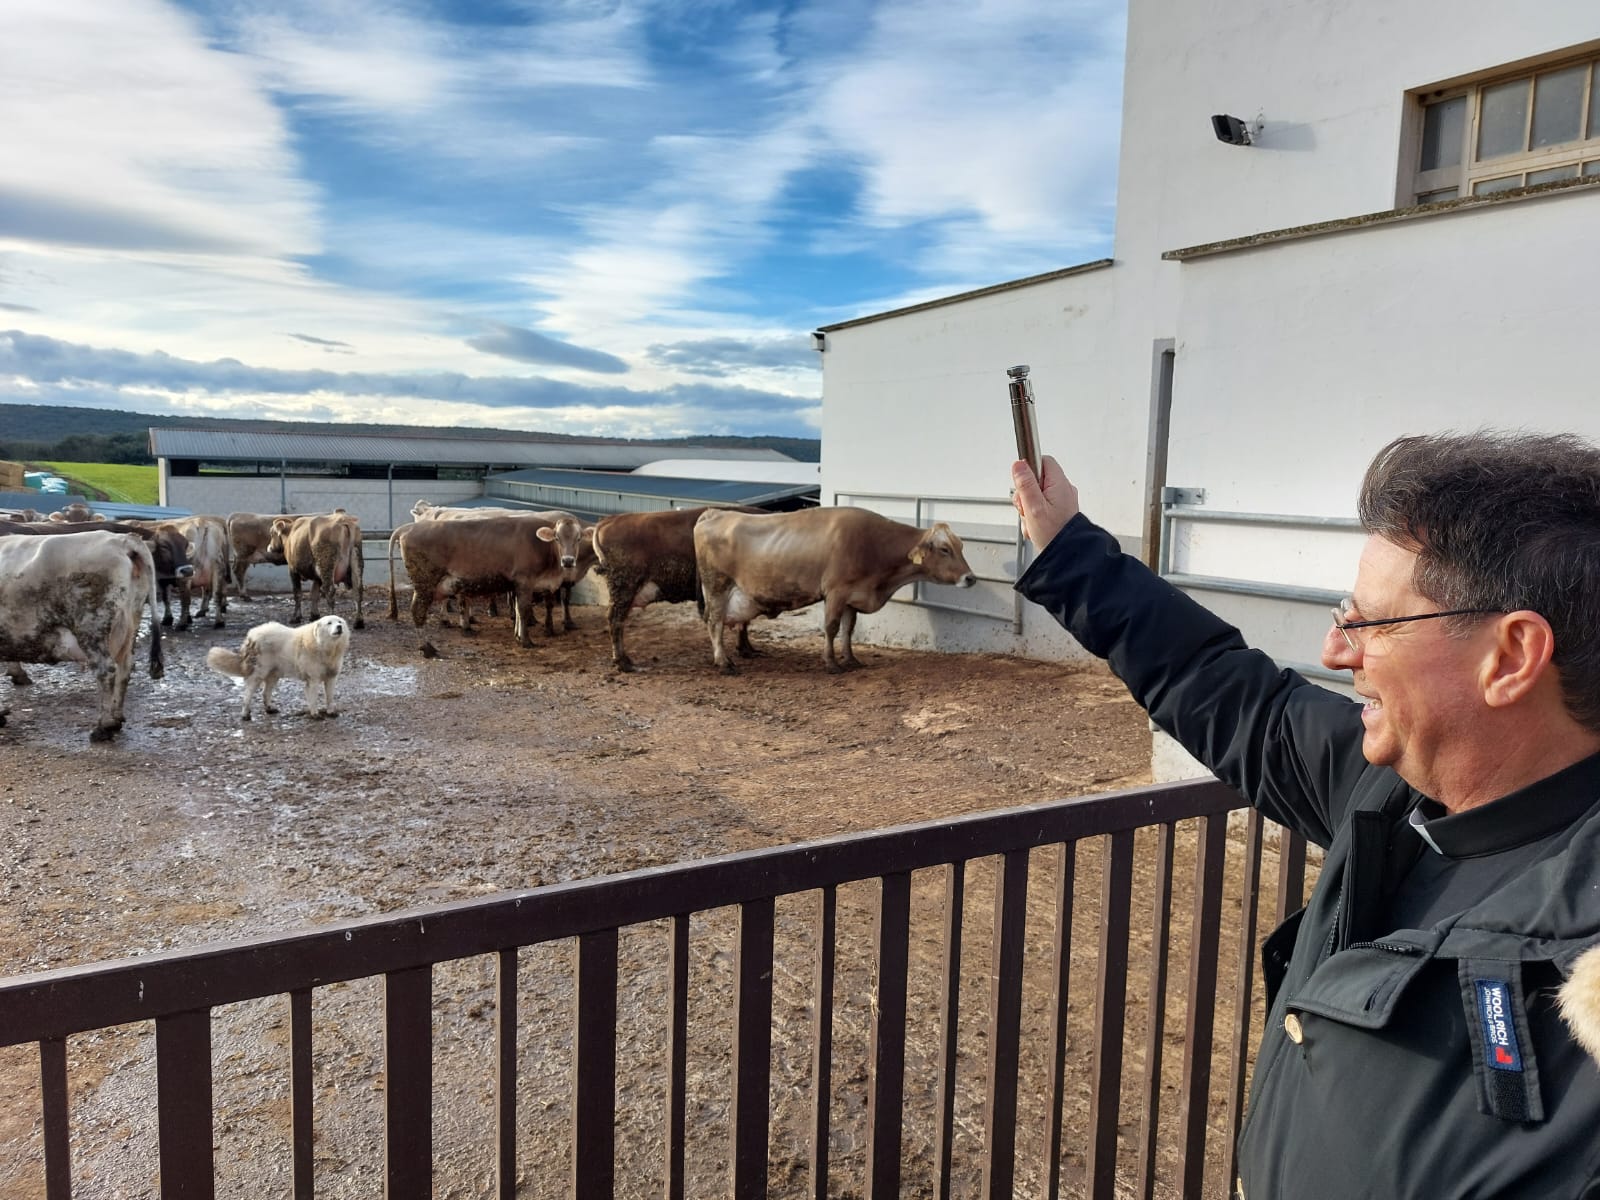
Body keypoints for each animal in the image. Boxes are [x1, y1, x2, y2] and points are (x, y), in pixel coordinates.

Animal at [0, 528, 165, 739]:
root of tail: (123, 539)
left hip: (92, 627)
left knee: (106, 670)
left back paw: (104, 726)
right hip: (130, 625)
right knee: (125, 668)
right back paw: (117, 716)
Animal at [208, 614, 352, 720]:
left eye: (339, 621)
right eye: (329, 623)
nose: (339, 627)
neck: (325, 647)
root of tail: (251, 634)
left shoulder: (331, 678)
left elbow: (330, 697)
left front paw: (331, 712)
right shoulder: (313, 679)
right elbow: (314, 699)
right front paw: (315, 714)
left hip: (274, 675)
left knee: (265, 693)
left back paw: (270, 709)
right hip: (258, 673)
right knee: (248, 693)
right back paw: (245, 715)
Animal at [398, 518, 588, 659]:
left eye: (578, 538)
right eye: (557, 538)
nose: (568, 561)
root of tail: (409, 527)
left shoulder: (516, 585)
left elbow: (517, 610)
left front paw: (518, 636)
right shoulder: (525, 581)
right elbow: (524, 610)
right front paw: (526, 641)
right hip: (425, 583)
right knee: (417, 612)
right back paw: (427, 648)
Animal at [592, 505, 764, 678]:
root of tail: (610, 519)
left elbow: (744, 621)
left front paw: (748, 650)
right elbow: (743, 621)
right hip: (625, 589)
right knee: (615, 620)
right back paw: (624, 663)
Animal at [697, 508, 979, 678]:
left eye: (960, 546)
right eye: (944, 549)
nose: (970, 578)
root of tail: (715, 512)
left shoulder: (853, 597)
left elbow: (848, 629)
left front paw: (850, 659)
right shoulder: (835, 591)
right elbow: (831, 627)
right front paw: (831, 663)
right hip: (717, 587)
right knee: (715, 624)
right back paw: (724, 663)